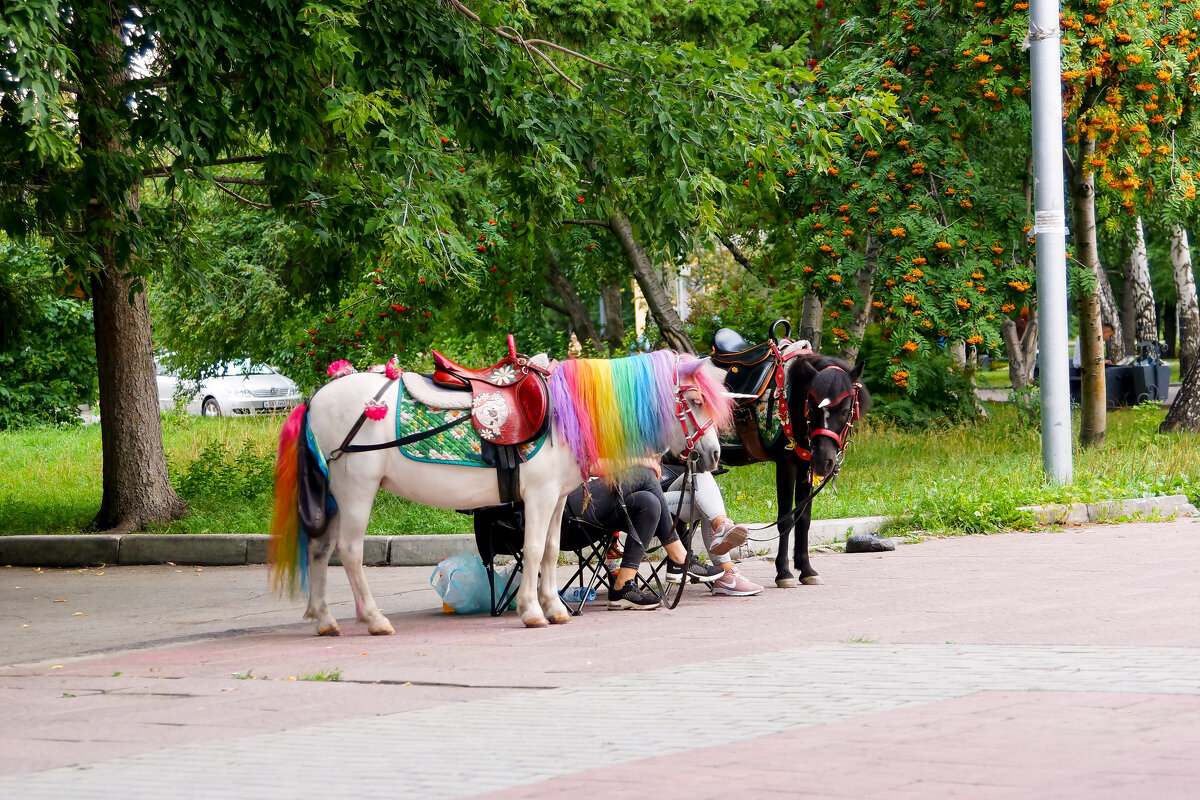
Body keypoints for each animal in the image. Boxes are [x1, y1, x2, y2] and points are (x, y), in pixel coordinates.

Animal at [270, 350, 729, 633]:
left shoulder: (557, 500)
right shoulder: (539, 496)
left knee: (319, 550)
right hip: (356, 491)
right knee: (348, 552)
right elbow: (533, 550)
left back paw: (326, 621)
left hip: (334, 498)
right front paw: (531, 611)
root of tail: (316, 399)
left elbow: (549, 550)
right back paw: (374, 619)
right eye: (693, 399)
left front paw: (554, 608)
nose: (712, 454)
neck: (562, 413)